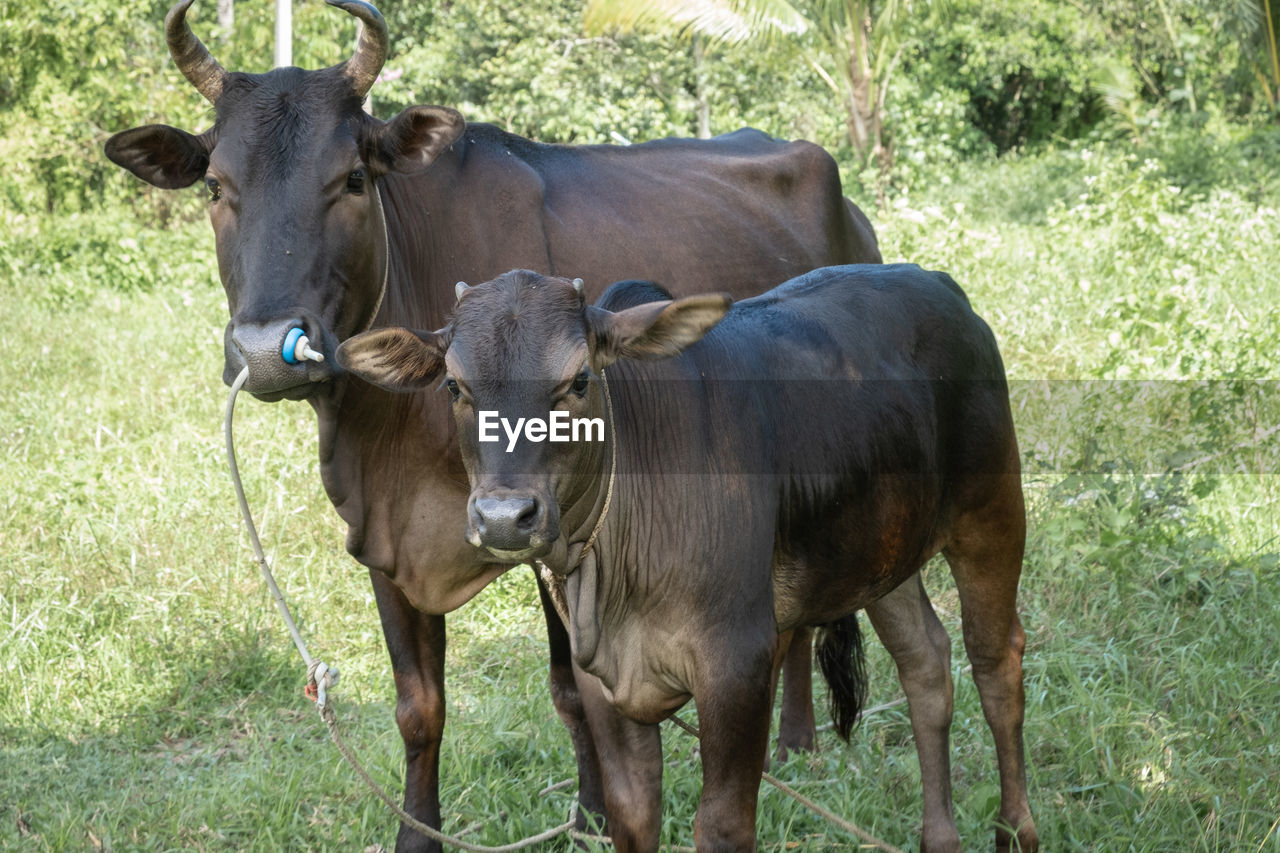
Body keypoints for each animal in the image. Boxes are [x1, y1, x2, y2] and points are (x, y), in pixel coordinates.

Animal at [102, 0, 901, 840]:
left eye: (351, 179)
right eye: (215, 185)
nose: (265, 348)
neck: (385, 429)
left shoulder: (560, 522)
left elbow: (573, 688)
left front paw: (588, 815)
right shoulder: (382, 535)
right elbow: (418, 707)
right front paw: (417, 833)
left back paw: (796, 740)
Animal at [340, 268, 1039, 850]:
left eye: (579, 380)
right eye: (454, 385)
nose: (505, 518)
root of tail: (944, 288)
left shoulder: (737, 667)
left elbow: (722, 826)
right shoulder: (602, 685)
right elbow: (633, 814)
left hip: (992, 515)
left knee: (996, 663)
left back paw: (1015, 831)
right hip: (885, 558)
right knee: (927, 665)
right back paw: (940, 838)